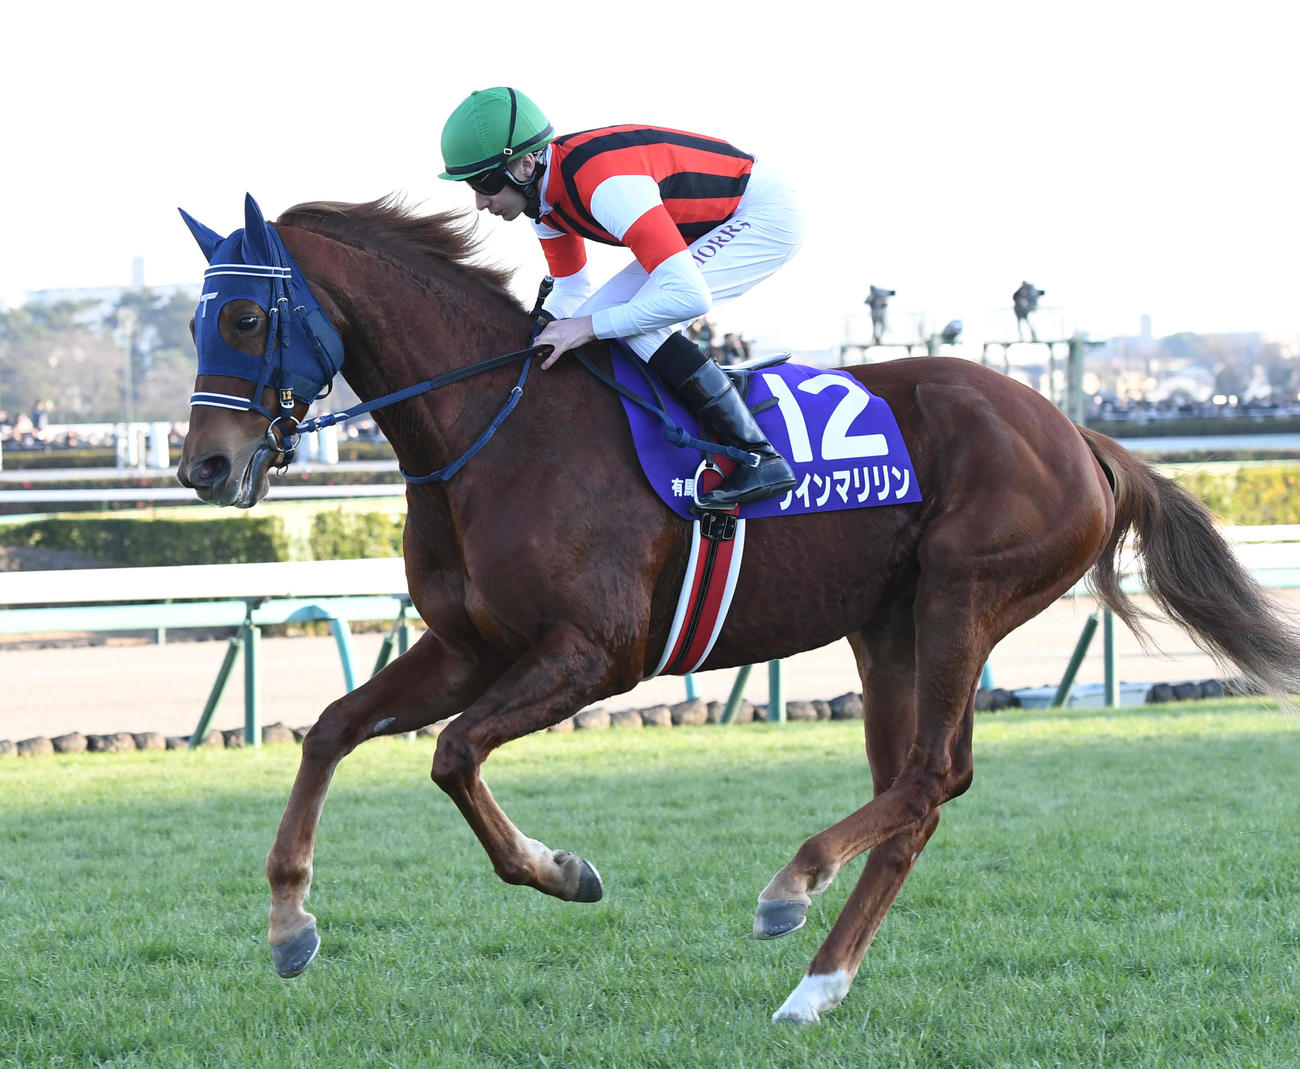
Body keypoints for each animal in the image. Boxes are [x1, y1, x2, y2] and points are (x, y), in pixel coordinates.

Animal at [175, 195, 1300, 1024]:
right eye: (192, 320)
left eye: (243, 318)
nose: (204, 467)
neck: (497, 428)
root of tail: (1079, 436)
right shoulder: (465, 646)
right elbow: (330, 728)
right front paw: (289, 921)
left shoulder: (596, 651)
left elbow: (452, 755)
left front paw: (561, 870)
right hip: (885, 626)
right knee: (921, 792)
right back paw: (819, 984)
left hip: (962, 594)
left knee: (930, 775)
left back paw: (791, 887)